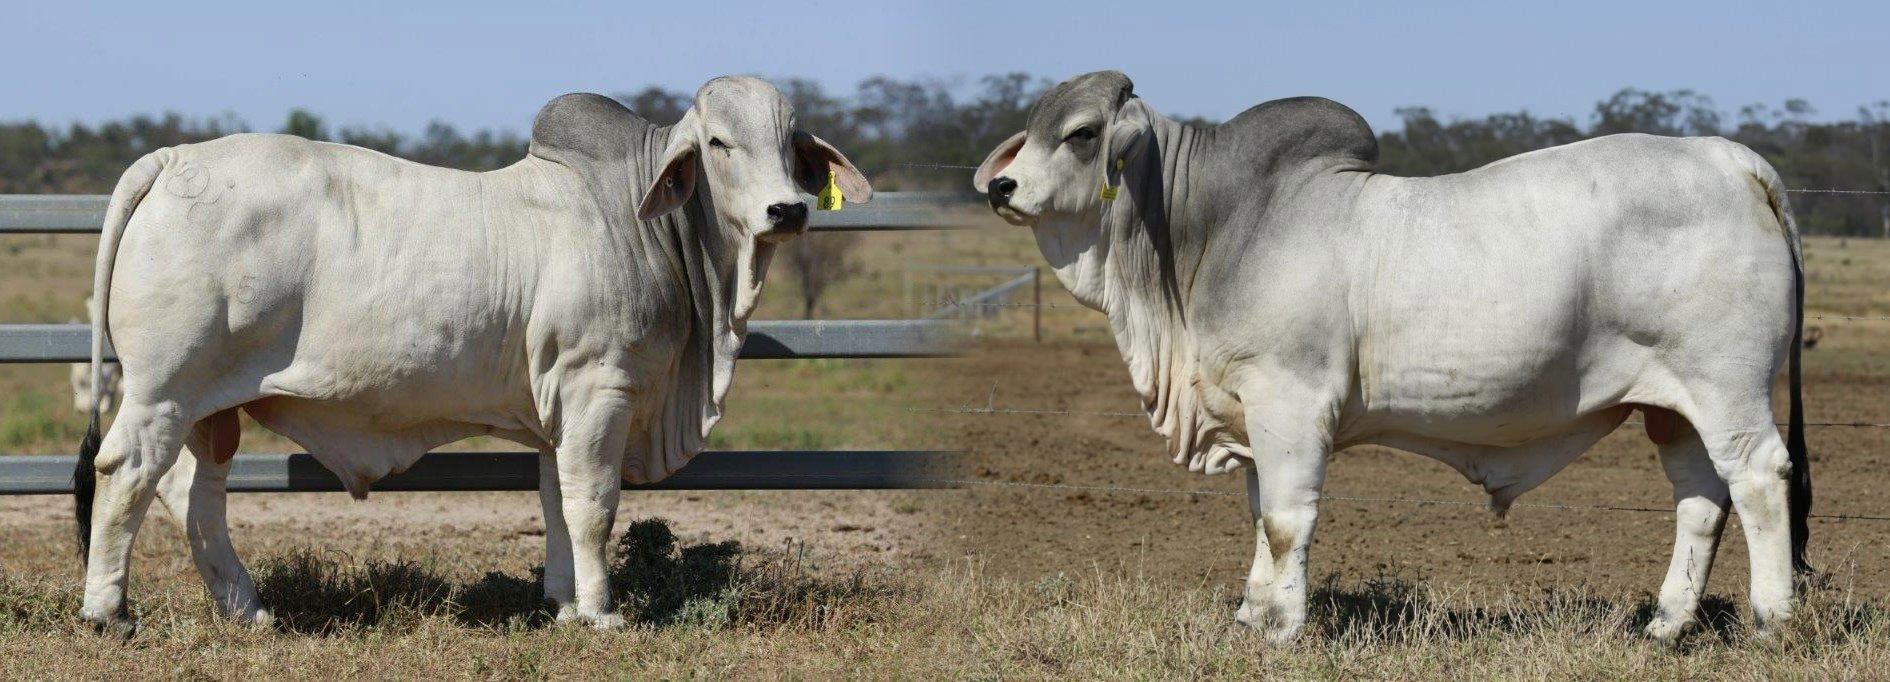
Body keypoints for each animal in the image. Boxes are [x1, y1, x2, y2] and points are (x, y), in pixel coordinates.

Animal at [74, 76, 872, 633]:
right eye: (717, 145)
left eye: (790, 143)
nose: (787, 209)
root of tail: (171, 157)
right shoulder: (599, 387)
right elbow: (594, 504)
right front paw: (604, 614)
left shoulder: (562, 406)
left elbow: (556, 501)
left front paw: (566, 605)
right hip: (163, 391)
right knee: (126, 473)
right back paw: (108, 612)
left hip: (214, 406)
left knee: (195, 495)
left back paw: (249, 610)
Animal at [973, 70, 1809, 643]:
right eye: (1031, 130)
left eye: (1082, 132)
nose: (1002, 187)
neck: (1210, 228)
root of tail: (1727, 157)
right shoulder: (1250, 414)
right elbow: (1258, 516)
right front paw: (1252, 614)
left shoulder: (1291, 401)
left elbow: (1287, 520)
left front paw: (1284, 628)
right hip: (1674, 408)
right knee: (1699, 498)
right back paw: (1665, 625)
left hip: (1728, 391)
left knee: (1759, 480)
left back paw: (1772, 620)